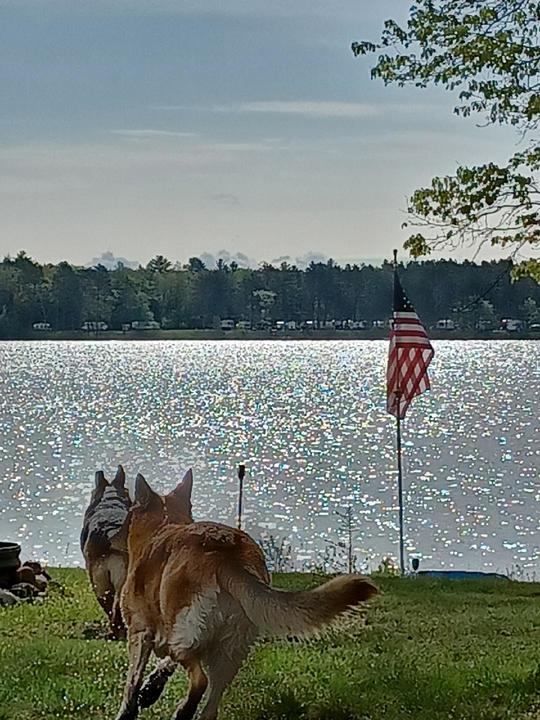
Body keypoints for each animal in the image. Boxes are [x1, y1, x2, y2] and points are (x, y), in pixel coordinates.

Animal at [115, 472, 376, 720]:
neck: (164, 524)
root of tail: (228, 555)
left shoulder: (140, 634)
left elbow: (131, 683)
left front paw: (128, 710)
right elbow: (160, 668)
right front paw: (151, 688)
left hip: (189, 638)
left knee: (200, 681)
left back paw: (183, 713)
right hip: (227, 652)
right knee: (209, 708)